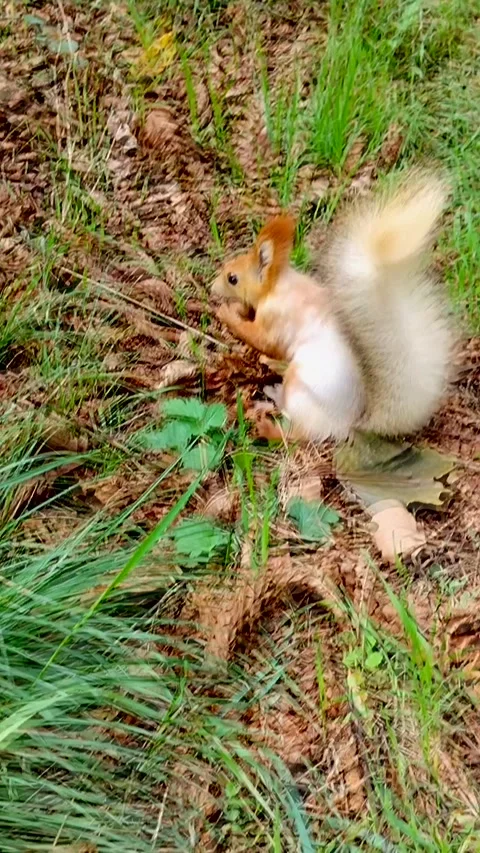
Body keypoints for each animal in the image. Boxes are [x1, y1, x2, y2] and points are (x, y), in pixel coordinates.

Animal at [212, 171, 456, 443]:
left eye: (232, 278)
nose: (212, 287)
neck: (277, 286)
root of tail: (348, 424)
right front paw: (240, 310)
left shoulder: (275, 319)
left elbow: (262, 340)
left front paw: (227, 314)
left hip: (299, 389)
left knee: (298, 432)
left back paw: (268, 424)